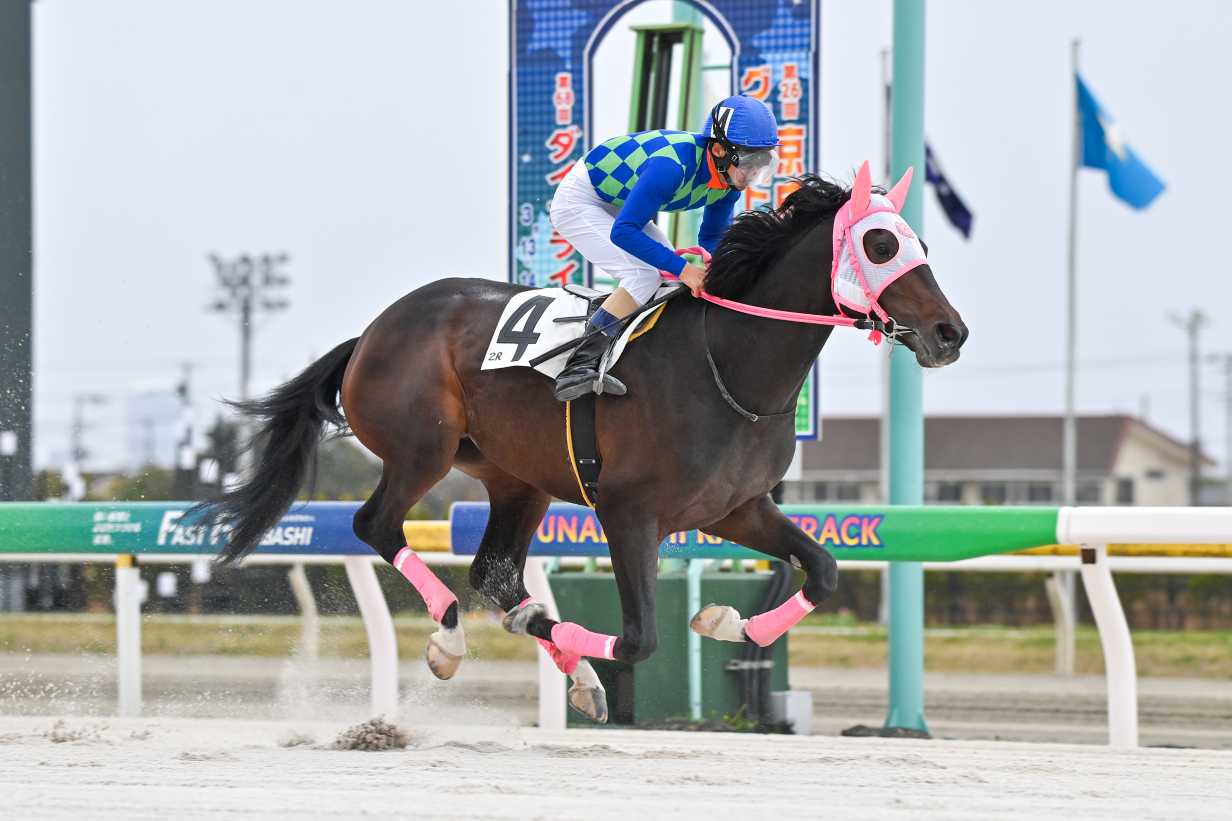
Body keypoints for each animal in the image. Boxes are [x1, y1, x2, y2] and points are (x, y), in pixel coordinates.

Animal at [197, 166, 965, 724]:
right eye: (881, 245)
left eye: (923, 246)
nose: (950, 332)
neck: (729, 363)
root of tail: (372, 332)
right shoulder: (629, 512)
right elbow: (641, 637)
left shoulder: (737, 508)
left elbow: (824, 570)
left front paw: (726, 623)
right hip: (422, 450)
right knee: (376, 524)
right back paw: (451, 638)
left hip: (517, 479)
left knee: (495, 572)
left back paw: (555, 653)